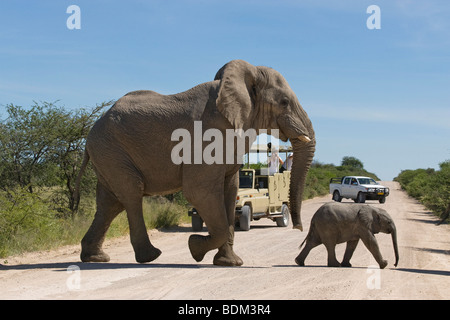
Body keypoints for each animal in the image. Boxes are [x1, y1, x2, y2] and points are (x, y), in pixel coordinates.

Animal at [75, 59, 314, 264]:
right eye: (284, 102)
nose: (298, 229)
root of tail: (91, 132)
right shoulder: (208, 137)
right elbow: (199, 191)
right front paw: (194, 247)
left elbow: (230, 190)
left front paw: (229, 263)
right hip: (111, 150)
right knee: (131, 193)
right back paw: (150, 257)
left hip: (107, 154)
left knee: (110, 202)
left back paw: (95, 258)